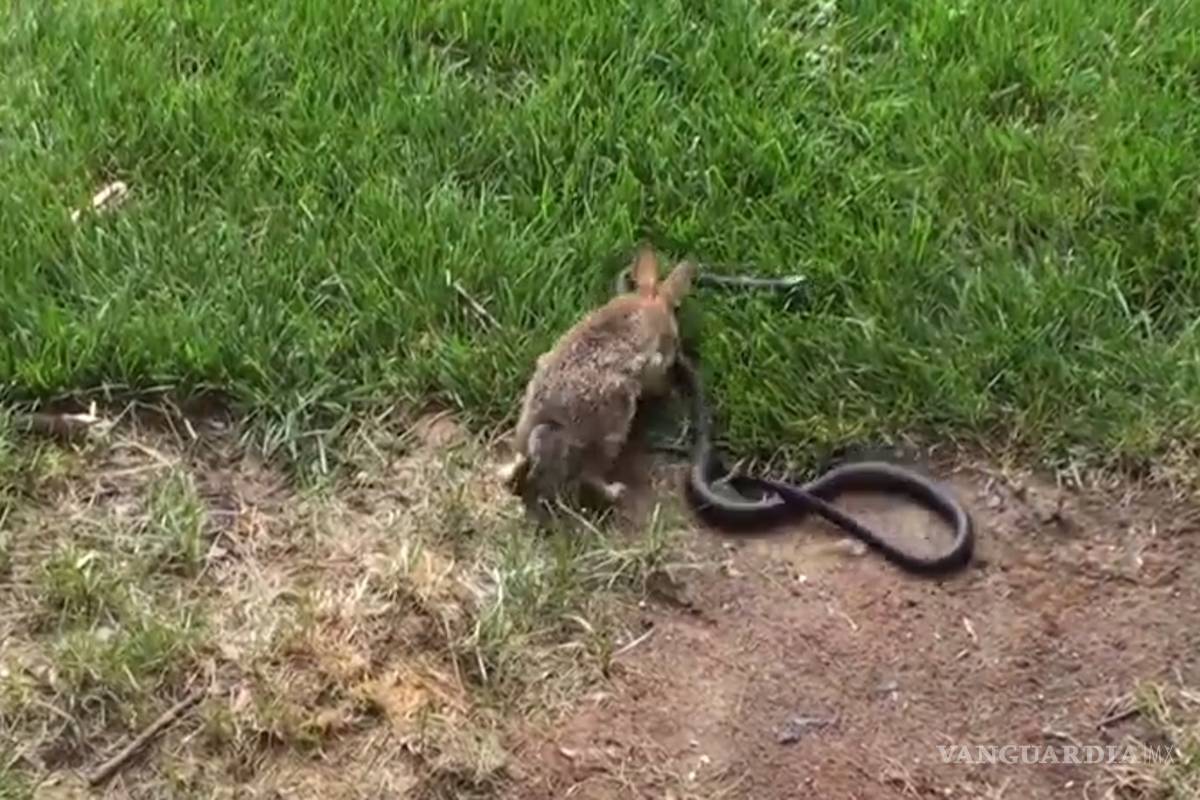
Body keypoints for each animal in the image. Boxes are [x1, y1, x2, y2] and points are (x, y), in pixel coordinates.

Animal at [498, 245, 696, 515]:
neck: (648, 302)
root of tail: (548, 421)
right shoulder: (655, 362)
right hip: (612, 427)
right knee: (590, 475)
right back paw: (615, 491)